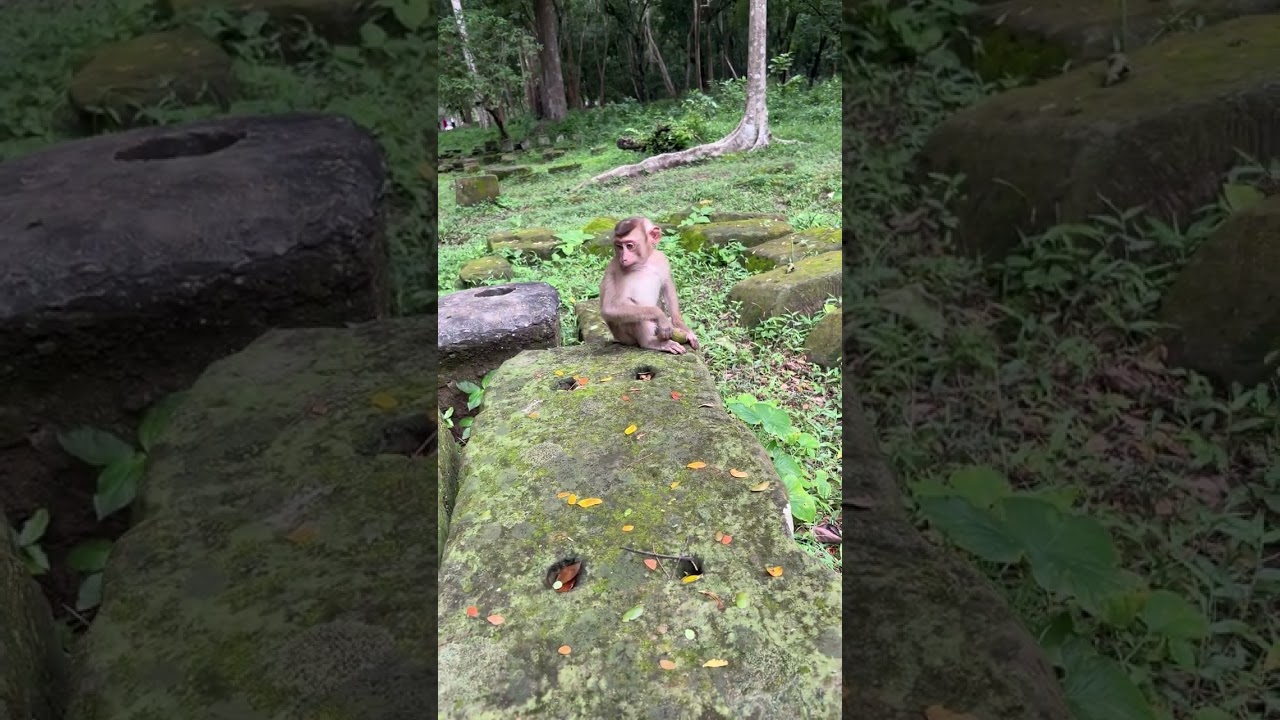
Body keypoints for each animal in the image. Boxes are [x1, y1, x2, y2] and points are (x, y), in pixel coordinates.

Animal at [599, 216, 700, 355]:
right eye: (619, 246)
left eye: (629, 246)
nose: (623, 258)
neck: (643, 263)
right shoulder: (614, 267)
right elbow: (610, 308)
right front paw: (660, 316)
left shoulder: (661, 258)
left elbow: (667, 285)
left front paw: (680, 325)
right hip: (624, 337)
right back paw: (651, 342)